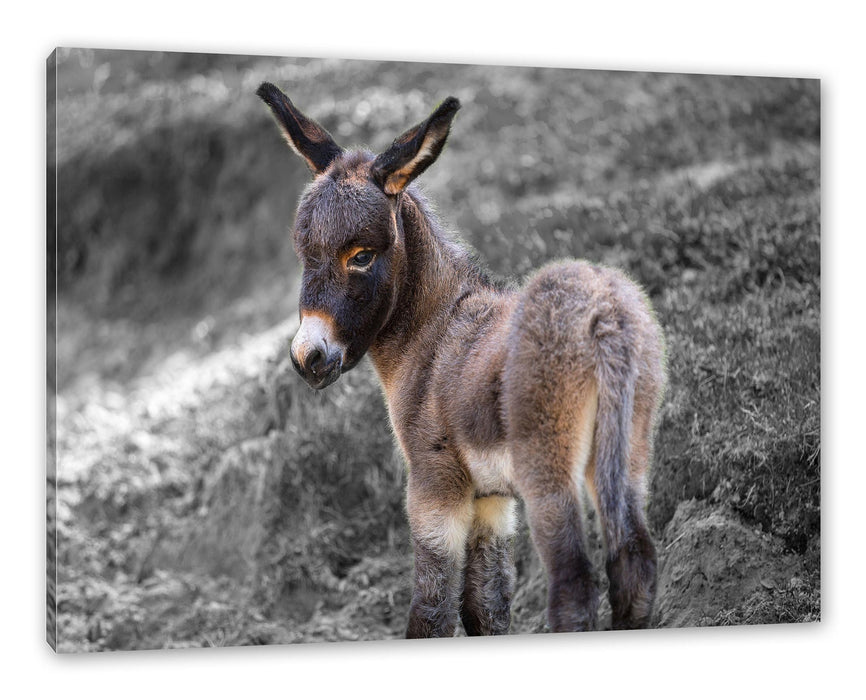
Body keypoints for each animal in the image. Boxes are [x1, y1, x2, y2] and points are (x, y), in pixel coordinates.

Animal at [256, 85, 668, 636]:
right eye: (304, 253)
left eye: (361, 256)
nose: (309, 358)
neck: (432, 333)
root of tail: (604, 315)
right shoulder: (491, 500)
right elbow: (484, 607)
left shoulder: (434, 487)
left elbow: (432, 610)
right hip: (627, 453)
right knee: (635, 563)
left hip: (549, 471)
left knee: (574, 583)